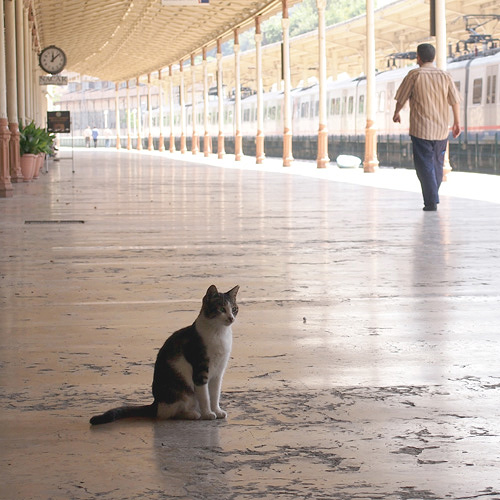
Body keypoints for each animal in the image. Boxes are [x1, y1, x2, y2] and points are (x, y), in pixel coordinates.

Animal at [91, 286, 239, 426]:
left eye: (234, 309)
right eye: (221, 309)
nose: (231, 318)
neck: (219, 333)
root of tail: (156, 403)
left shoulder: (218, 371)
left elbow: (214, 394)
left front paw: (217, 411)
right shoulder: (200, 370)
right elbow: (205, 396)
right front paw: (208, 413)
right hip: (182, 392)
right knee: (167, 413)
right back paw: (192, 414)